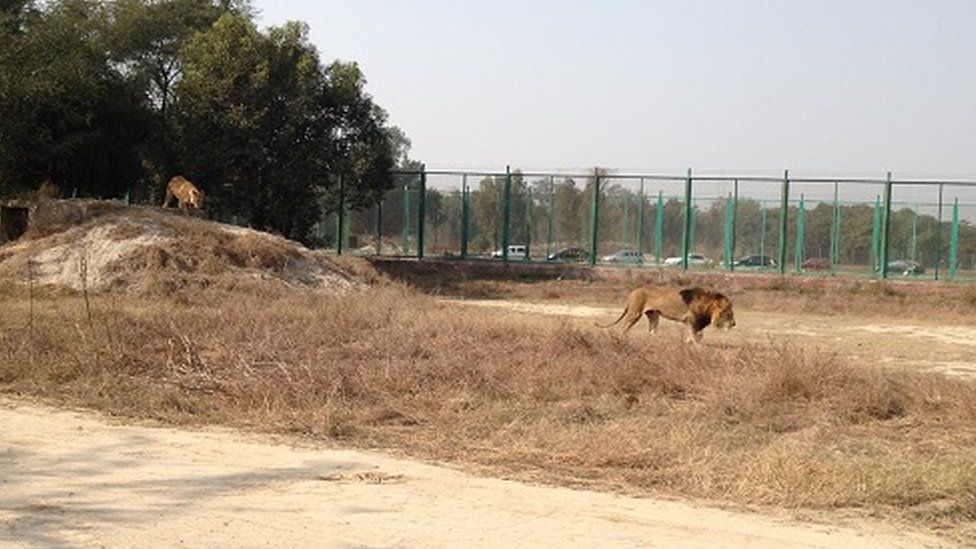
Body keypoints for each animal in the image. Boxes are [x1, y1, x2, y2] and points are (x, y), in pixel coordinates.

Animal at [600, 286, 736, 342]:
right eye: (729, 314)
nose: (734, 324)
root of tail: (632, 292)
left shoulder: (693, 322)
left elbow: (698, 335)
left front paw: (688, 342)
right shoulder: (691, 319)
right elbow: (696, 336)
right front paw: (696, 345)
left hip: (654, 315)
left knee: (652, 331)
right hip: (635, 313)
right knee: (623, 328)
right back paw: (622, 339)